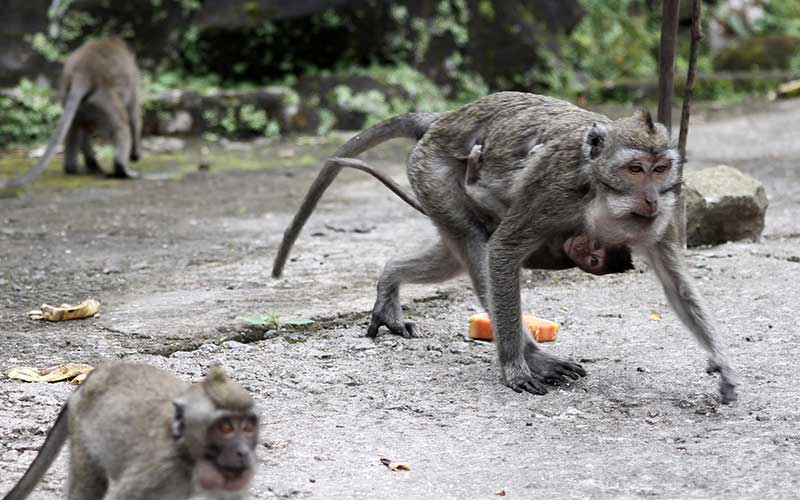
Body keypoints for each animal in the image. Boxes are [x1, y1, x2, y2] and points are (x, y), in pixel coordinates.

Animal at [2, 38, 142, 189]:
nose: (135, 156)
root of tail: (82, 71)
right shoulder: (133, 78)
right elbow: (134, 115)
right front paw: (135, 155)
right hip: (102, 99)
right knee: (121, 126)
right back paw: (121, 170)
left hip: (78, 100)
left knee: (75, 127)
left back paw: (74, 168)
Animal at [3, 364, 258, 500]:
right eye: (226, 428)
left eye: (248, 427)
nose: (244, 453)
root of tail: (96, 374)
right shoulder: (157, 472)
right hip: (84, 436)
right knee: (89, 485)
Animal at [274, 92, 736, 404]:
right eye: (636, 169)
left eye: (661, 170)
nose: (651, 200)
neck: (599, 197)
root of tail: (443, 119)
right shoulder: (554, 191)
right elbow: (503, 251)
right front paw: (515, 367)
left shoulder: (665, 214)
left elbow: (675, 282)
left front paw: (724, 366)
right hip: (431, 170)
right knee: (476, 244)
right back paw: (531, 354)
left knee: (458, 249)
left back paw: (390, 279)